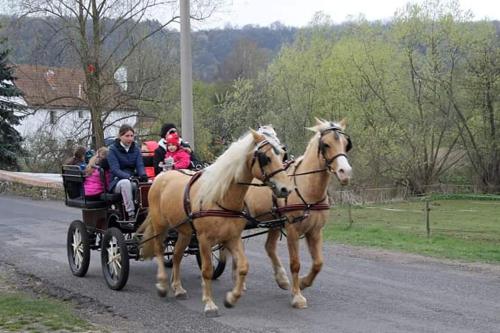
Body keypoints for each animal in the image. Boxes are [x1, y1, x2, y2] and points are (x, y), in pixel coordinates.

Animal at [139, 128, 294, 316]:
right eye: (266, 157)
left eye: (283, 155)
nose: (286, 189)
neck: (220, 198)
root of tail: (162, 175)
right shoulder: (204, 240)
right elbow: (207, 270)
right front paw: (209, 304)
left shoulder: (233, 237)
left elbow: (243, 266)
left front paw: (232, 298)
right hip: (160, 226)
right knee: (160, 251)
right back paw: (162, 284)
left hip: (184, 232)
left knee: (176, 256)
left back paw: (178, 288)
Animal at [245, 118, 354, 308]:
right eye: (326, 144)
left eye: (346, 144)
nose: (345, 172)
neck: (307, 189)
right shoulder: (292, 230)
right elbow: (295, 263)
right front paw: (297, 296)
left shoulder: (315, 231)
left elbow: (318, 263)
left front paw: (303, 283)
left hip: (274, 221)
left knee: (269, 247)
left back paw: (281, 279)